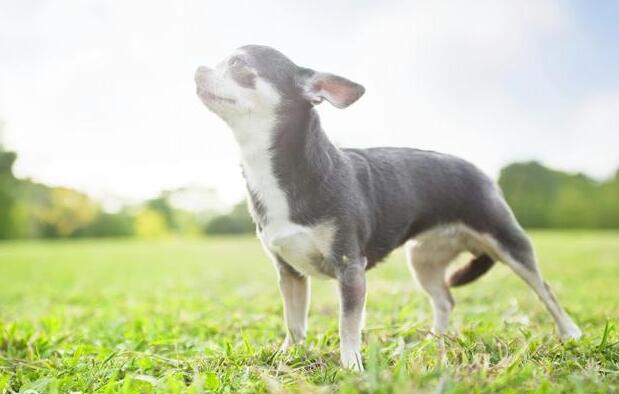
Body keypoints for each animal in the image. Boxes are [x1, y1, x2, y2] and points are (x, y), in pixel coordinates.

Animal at [196, 44, 584, 370]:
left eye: (238, 65)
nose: (197, 68)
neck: (275, 167)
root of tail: (485, 175)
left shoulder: (350, 268)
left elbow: (347, 324)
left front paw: (351, 366)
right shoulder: (289, 273)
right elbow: (294, 323)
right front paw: (287, 356)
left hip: (509, 243)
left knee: (545, 290)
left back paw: (570, 333)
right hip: (422, 261)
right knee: (445, 300)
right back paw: (435, 339)